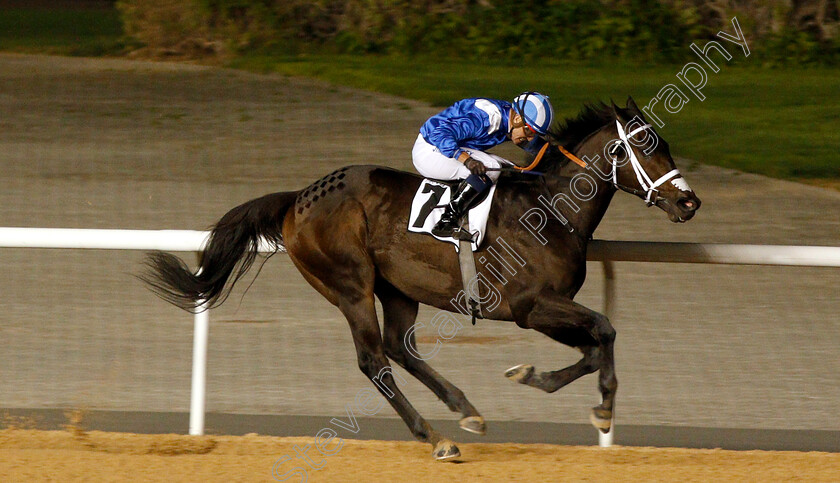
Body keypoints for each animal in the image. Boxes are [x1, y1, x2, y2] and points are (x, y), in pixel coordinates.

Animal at [141, 96, 700, 460]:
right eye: (645, 146)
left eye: (667, 143)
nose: (690, 202)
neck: (550, 210)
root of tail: (298, 197)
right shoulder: (530, 306)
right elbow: (604, 329)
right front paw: (594, 405)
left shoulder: (546, 308)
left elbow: (594, 343)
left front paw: (546, 383)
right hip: (351, 285)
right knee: (374, 359)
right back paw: (436, 438)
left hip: (398, 288)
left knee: (399, 347)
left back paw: (465, 410)